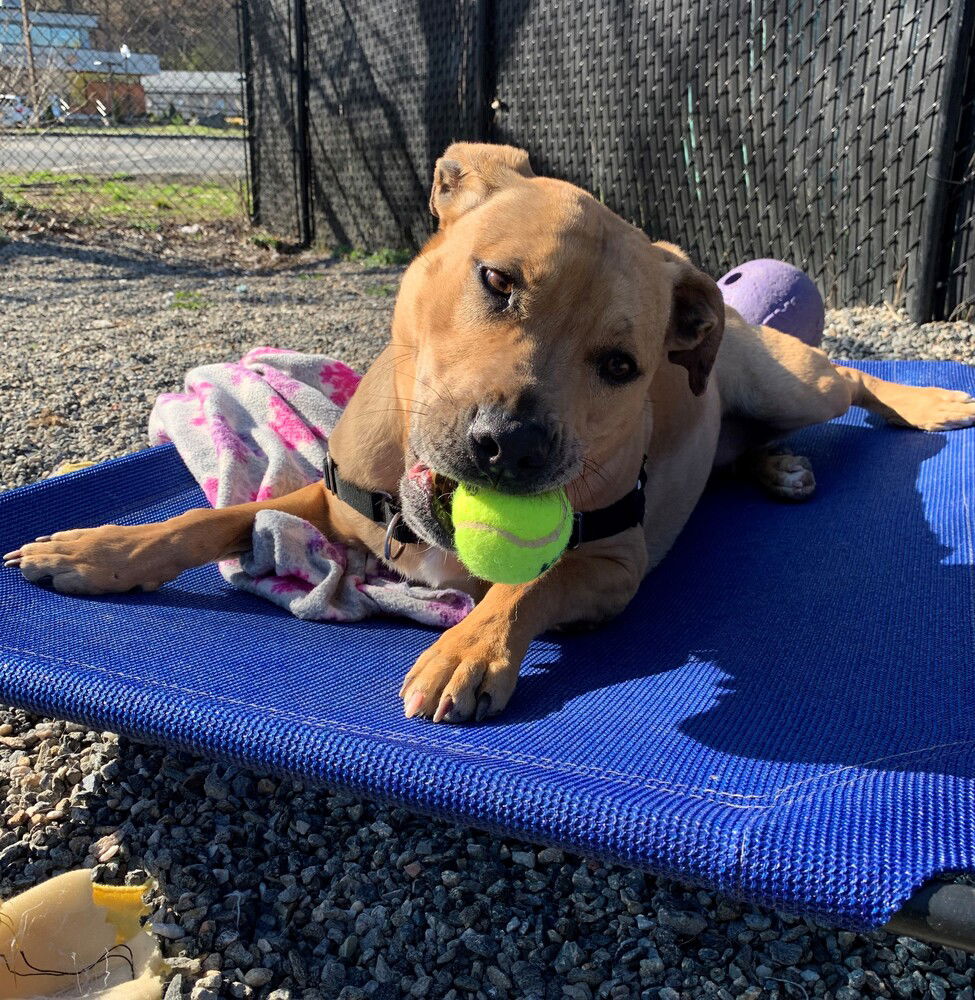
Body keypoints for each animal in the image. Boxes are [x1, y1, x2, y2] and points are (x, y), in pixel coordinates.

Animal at [7, 143, 975, 720]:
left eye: (620, 364)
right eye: (497, 282)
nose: (510, 447)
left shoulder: (611, 567)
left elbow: (525, 586)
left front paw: (467, 647)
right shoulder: (327, 499)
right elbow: (207, 518)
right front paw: (99, 549)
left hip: (789, 379)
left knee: (851, 378)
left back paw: (926, 407)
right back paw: (778, 469)